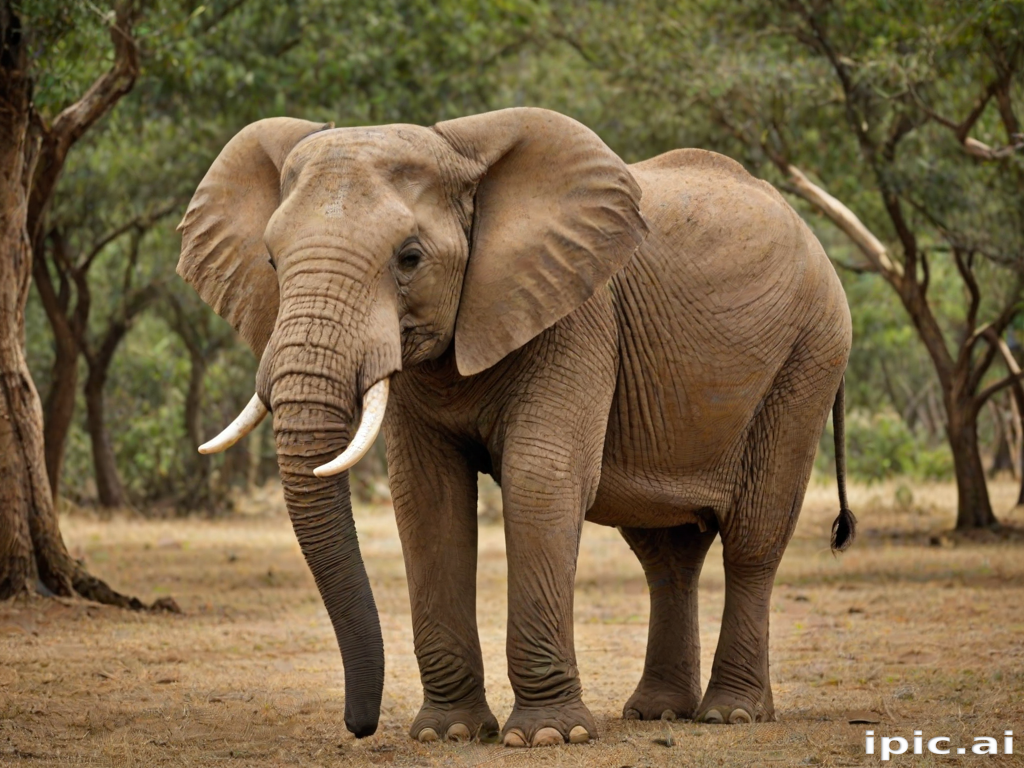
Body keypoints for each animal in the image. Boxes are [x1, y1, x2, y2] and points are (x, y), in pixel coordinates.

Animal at [178, 107, 855, 747]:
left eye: (410, 258)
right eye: (271, 260)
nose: (359, 725)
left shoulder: (578, 313)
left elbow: (540, 479)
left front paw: (550, 736)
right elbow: (428, 498)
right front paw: (448, 733)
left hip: (810, 354)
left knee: (754, 538)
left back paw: (730, 714)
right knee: (666, 552)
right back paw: (658, 712)